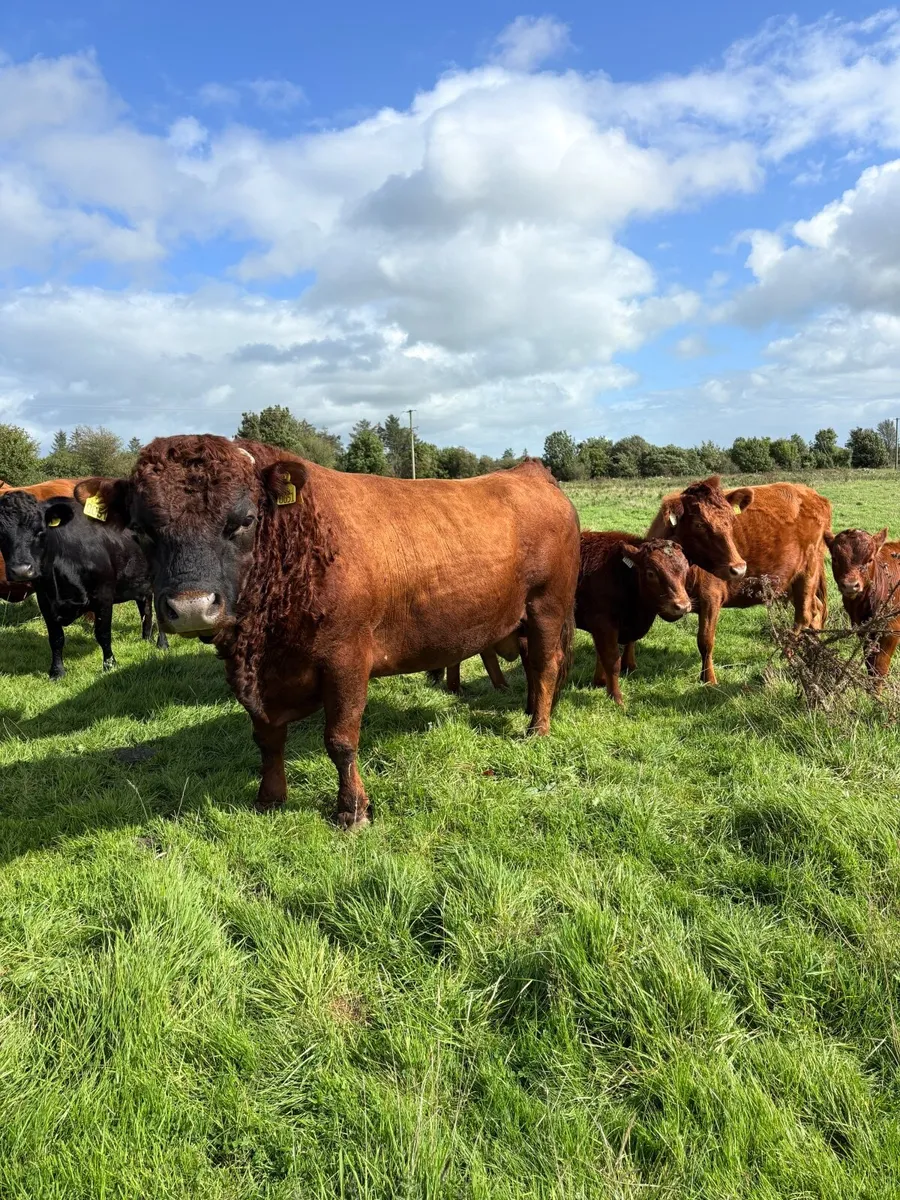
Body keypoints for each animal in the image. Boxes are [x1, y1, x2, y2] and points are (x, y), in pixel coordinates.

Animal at [0, 490, 167, 678]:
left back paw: (162, 644)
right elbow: (56, 638)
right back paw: (147, 639)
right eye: (0, 533)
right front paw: (57, 672)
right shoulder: (45, 600)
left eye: (41, 531)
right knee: (145, 608)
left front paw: (110, 665)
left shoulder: (103, 595)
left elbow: (102, 633)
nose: (21, 570)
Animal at [76, 437, 580, 829]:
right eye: (141, 529)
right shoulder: (254, 675)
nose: (192, 607)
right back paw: (532, 710)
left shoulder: (346, 661)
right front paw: (270, 797)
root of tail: (530, 473)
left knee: (545, 664)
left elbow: (340, 741)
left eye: (243, 520)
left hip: (547, 608)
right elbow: (267, 737)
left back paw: (537, 727)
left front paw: (352, 810)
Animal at [627, 481, 831, 685]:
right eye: (699, 524)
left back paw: (789, 655)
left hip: (808, 571)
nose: (739, 568)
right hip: (791, 582)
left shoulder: (711, 598)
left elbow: (705, 640)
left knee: (804, 615)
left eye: (731, 522)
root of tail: (812, 494)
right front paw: (628, 666)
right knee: (816, 609)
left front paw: (709, 678)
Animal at [826, 527, 900, 685]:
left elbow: (879, 669)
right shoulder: (864, 630)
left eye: (870, 560)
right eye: (835, 558)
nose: (850, 585)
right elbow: (870, 664)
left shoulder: (890, 631)